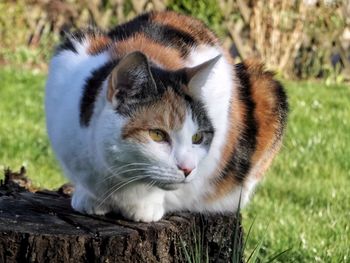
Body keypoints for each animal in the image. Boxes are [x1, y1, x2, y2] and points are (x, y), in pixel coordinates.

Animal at [45, 11, 288, 224]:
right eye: (157, 135)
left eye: (197, 138)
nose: (187, 169)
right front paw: (88, 198)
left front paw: (145, 206)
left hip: (267, 87)